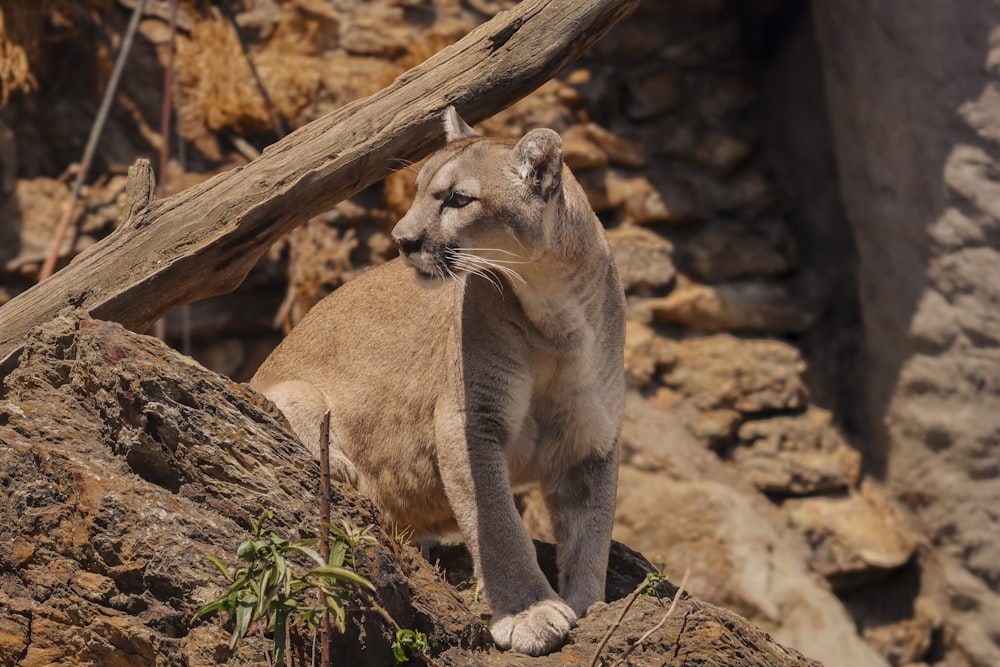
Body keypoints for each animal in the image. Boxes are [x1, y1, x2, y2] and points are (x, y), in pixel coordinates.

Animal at [252, 109, 624, 656]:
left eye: (457, 199)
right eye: (419, 189)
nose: (401, 239)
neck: (556, 315)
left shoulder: (591, 440)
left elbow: (591, 533)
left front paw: (588, 605)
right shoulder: (468, 422)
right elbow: (497, 524)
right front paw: (529, 613)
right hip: (294, 394)